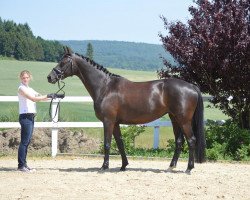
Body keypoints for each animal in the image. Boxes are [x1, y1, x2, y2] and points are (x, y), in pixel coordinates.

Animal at [47, 47, 205, 173]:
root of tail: (192, 87)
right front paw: (124, 166)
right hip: (174, 119)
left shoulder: (108, 121)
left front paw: (104, 167)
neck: (105, 87)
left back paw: (189, 168)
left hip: (184, 120)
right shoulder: (116, 123)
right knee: (179, 142)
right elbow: (120, 143)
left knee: (191, 140)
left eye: (63, 62)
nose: (50, 77)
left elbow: (107, 144)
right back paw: (171, 166)